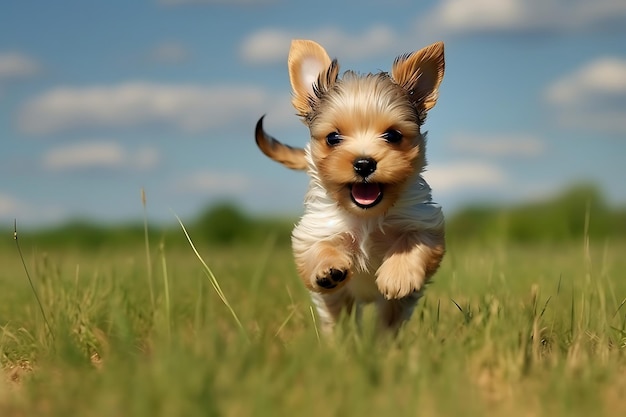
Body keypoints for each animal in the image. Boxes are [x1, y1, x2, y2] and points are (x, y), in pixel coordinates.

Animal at [256, 40, 446, 334]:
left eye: (393, 135)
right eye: (333, 138)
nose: (364, 163)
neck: (366, 216)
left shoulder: (424, 223)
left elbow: (413, 241)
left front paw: (399, 276)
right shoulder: (314, 230)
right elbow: (318, 248)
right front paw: (327, 269)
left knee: (387, 325)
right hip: (337, 304)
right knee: (339, 321)